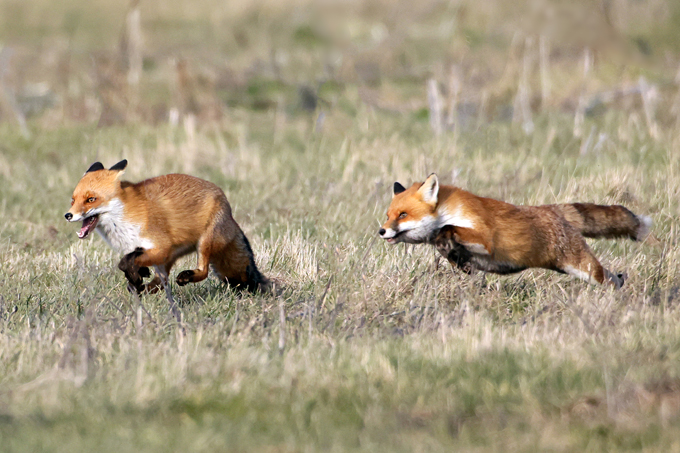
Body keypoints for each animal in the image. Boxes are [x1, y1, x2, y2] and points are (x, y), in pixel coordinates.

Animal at [65, 160, 269, 315]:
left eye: (91, 199)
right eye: (73, 200)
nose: (68, 215)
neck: (124, 218)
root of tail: (230, 214)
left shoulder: (162, 248)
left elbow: (124, 262)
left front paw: (136, 275)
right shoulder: (145, 249)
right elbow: (130, 262)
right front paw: (138, 275)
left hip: (204, 244)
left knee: (203, 271)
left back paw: (185, 277)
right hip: (173, 257)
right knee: (160, 285)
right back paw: (141, 286)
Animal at [378, 174, 652, 288]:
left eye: (403, 215)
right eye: (388, 215)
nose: (381, 231)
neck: (449, 209)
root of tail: (553, 210)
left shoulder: (485, 238)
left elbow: (447, 229)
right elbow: (448, 247)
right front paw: (457, 259)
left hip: (584, 268)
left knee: (609, 279)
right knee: (615, 277)